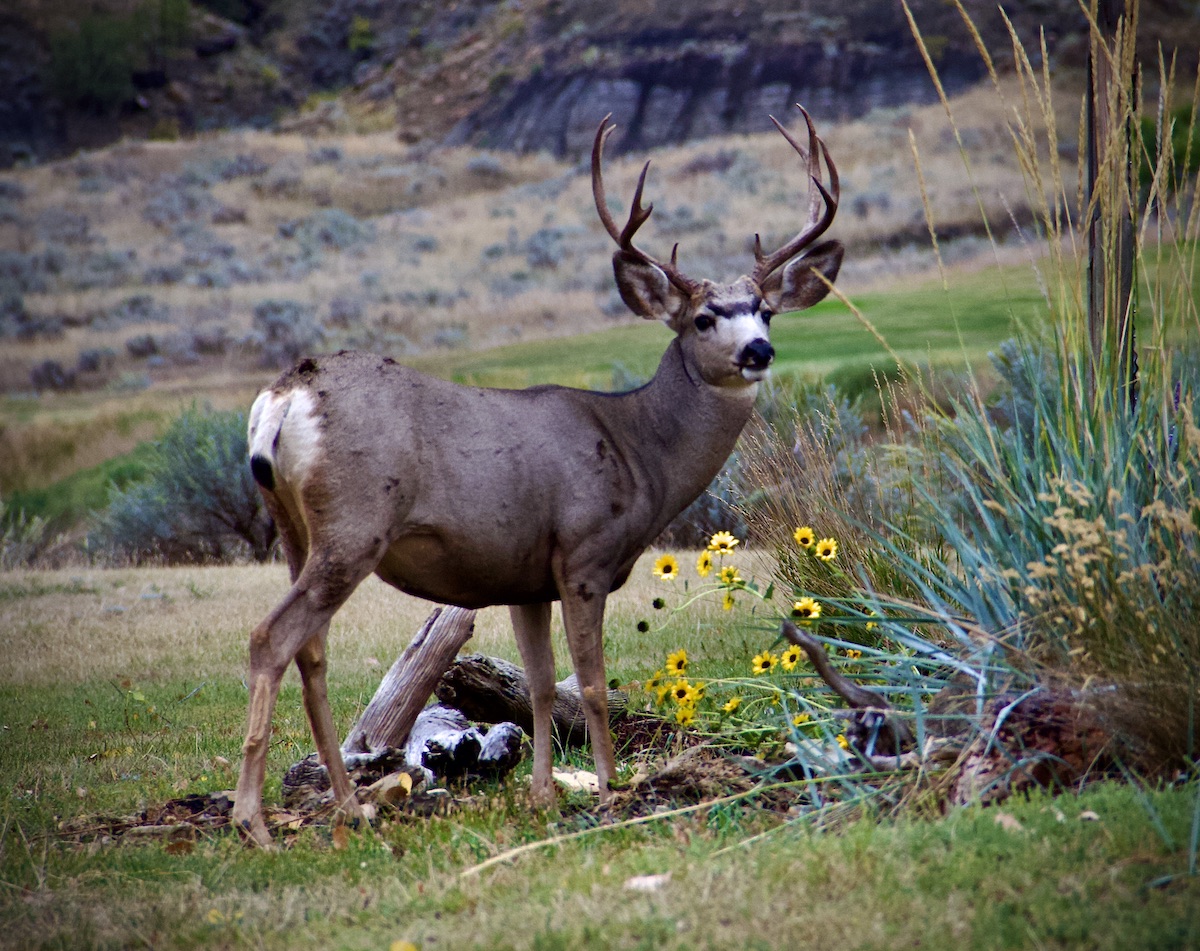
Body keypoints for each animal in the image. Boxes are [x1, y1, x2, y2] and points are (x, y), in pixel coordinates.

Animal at [226, 105, 844, 845]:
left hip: (296, 529)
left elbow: (542, 684)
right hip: (353, 523)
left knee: (311, 651)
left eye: (766, 310)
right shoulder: (584, 552)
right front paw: (608, 785)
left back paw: (349, 803)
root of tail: (282, 397)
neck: (638, 448)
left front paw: (545, 792)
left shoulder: (525, 576)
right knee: (271, 637)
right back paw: (253, 820)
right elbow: (595, 683)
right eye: (703, 317)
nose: (758, 350)